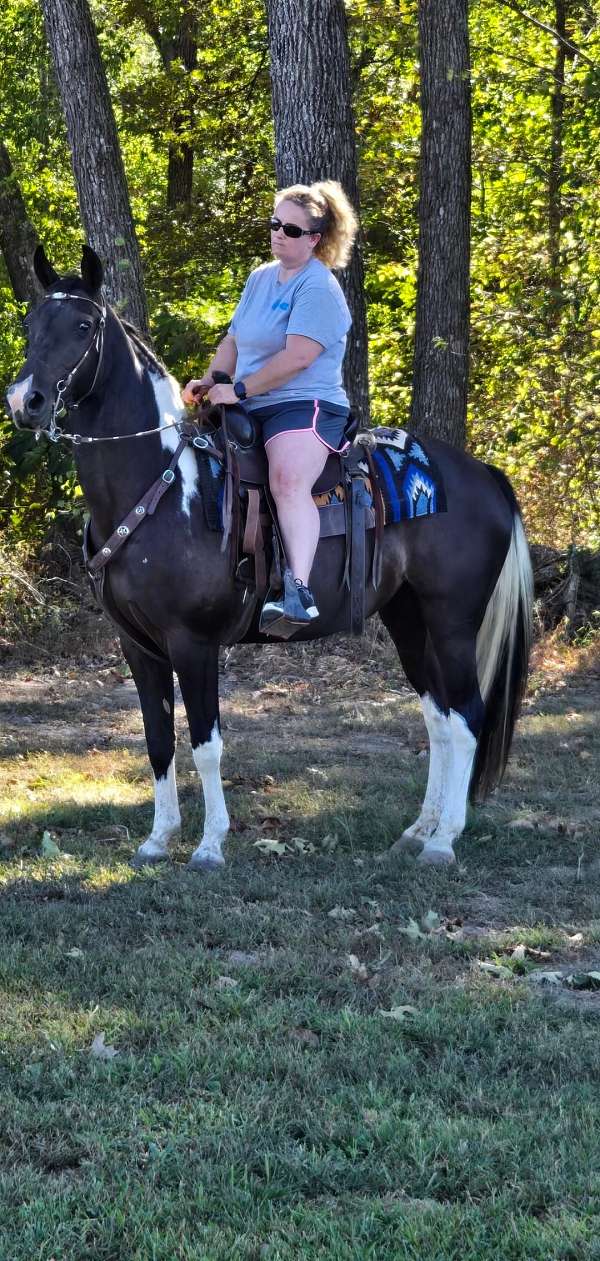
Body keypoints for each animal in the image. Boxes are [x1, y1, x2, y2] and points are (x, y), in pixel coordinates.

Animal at [5, 250, 534, 872]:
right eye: (31, 323)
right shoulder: (137, 646)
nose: (25, 402)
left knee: (468, 716)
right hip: (408, 618)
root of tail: (482, 474)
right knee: (440, 718)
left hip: (452, 620)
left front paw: (209, 845)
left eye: (84, 327)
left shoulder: (193, 642)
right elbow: (158, 739)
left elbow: (206, 746)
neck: (162, 485)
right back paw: (417, 831)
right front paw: (158, 839)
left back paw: (444, 839)